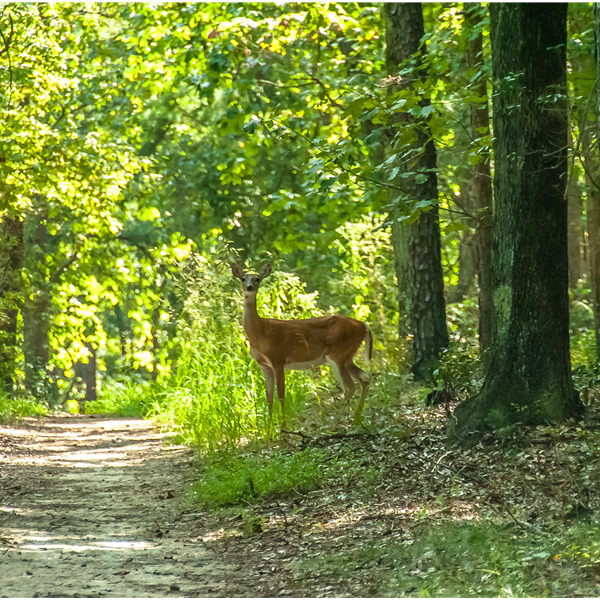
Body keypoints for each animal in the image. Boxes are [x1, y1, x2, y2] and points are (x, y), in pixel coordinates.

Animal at [232, 262, 372, 426]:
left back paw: (339, 420)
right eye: (243, 278)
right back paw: (356, 418)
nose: (249, 287)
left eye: (257, 279)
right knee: (365, 378)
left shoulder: (278, 359)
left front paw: (283, 427)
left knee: (349, 387)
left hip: (338, 354)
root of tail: (363, 325)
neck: (260, 332)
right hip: (347, 356)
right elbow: (269, 397)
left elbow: (281, 395)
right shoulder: (264, 365)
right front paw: (269, 428)